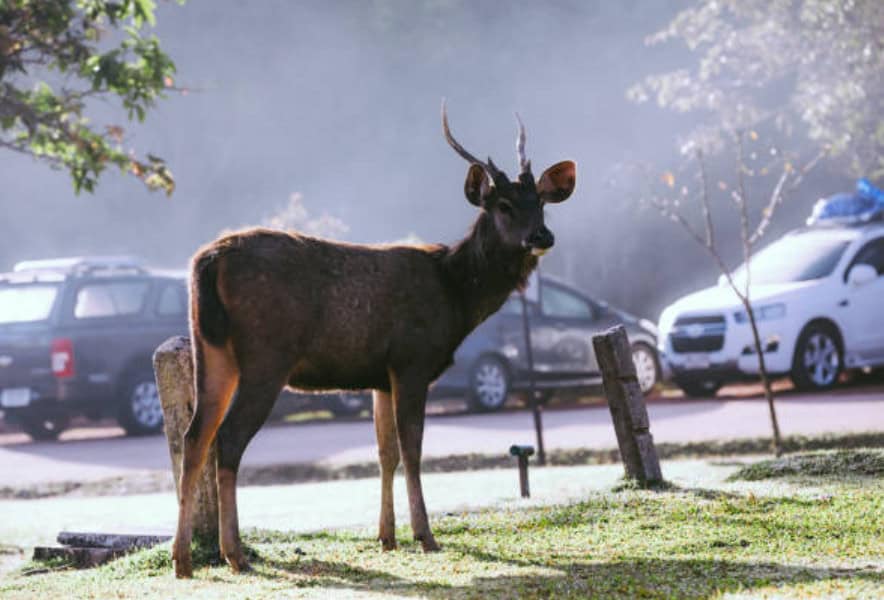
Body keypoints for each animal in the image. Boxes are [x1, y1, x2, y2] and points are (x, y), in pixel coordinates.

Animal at [171, 102, 576, 578]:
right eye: (505, 205)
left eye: (541, 203)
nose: (542, 236)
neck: (456, 296)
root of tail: (207, 261)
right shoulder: (412, 361)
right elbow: (413, 448)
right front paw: (424, 535)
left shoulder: (380, 377)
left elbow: (386, 452)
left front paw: (386, 536)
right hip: (265, 358)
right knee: (229, 438)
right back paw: (234, 554)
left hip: (210, 350)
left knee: (194, 436)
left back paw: (182, 559)